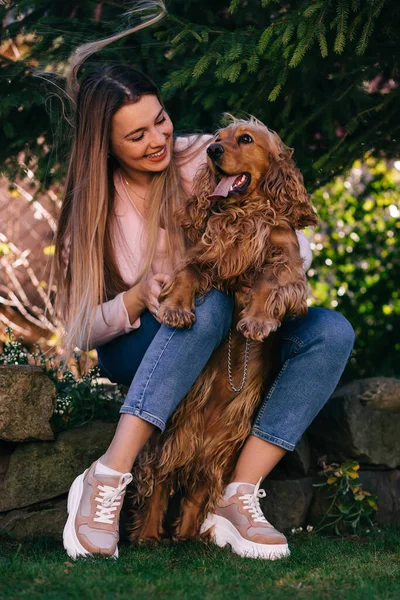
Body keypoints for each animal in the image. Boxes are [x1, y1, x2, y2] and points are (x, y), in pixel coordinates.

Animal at [126, 116, 318, 544]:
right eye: (217, 139)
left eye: (245, 138)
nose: (213, 151)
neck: (243, 214)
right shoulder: (205, 258)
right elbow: (185, 276)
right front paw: (177, 309)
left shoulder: (288, 268)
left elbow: (267, 283)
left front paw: (258, 320)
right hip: (173, 434)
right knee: (160, 481)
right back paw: (150, 536)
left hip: (224, 449)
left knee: (197, 492)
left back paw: (189, 536)